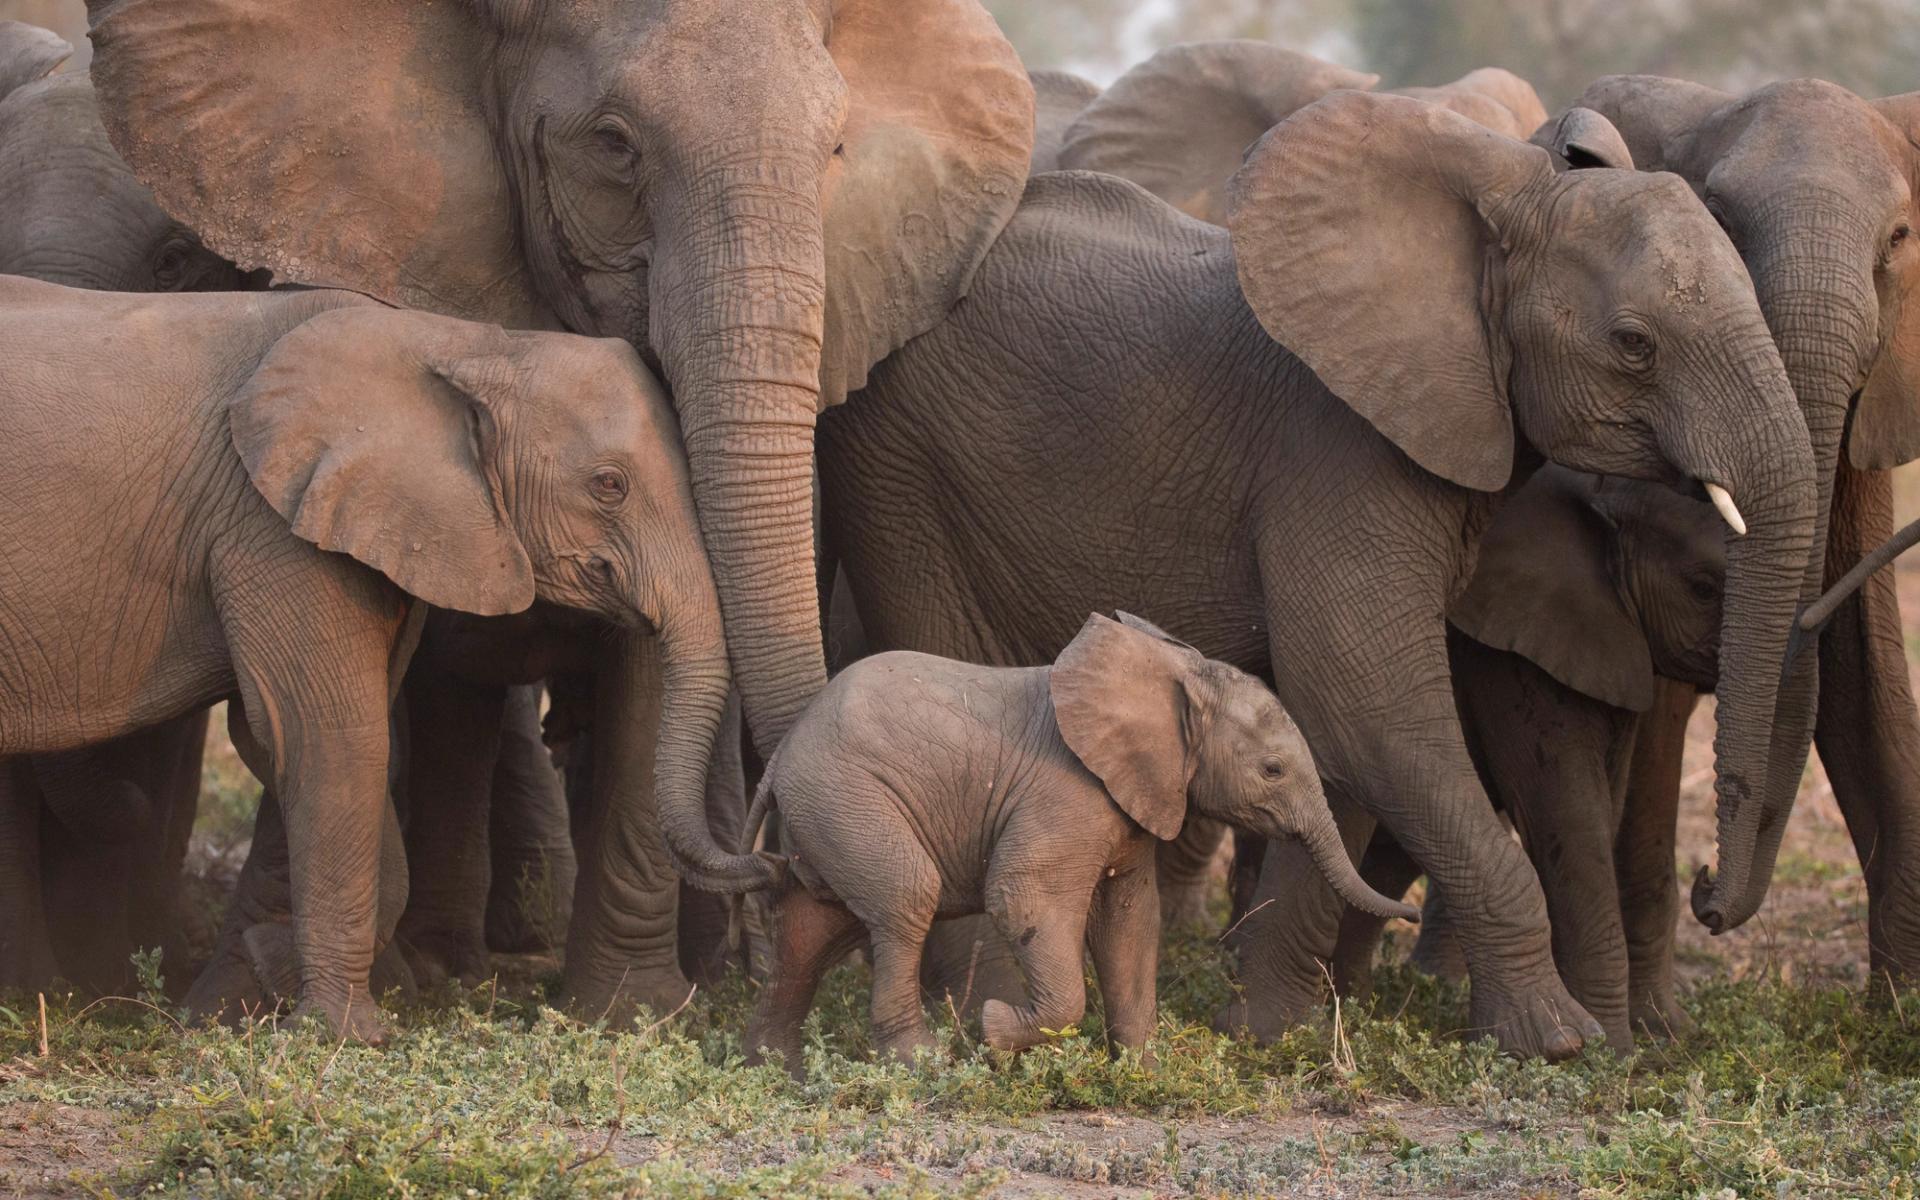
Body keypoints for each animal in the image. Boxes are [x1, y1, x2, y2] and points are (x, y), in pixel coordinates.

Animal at [0, 277, 732, 1042]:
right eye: (609, 485)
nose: (754, 866)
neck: (467, 341)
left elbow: (304, 736)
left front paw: (266, 976)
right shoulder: (274, 526)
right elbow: (331, 737)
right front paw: (344, 1034)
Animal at [83, 0, 1035, 1014]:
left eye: (837, 148)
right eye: (615, 145)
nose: (775, 885)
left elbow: (653, 658)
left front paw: (631, 1011)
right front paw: (238, 999)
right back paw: (430, 971)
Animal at [733, 612, 1415, 1074]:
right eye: (1273, 770)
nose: (1407, 912)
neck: (1173, 671)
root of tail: (784, 754)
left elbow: (1131, 919)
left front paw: (1144, 1075)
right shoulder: (1069, 793)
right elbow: (1023, 896)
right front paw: (995, 1028)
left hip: (830, 812)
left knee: (815, 928)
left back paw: (775, 1068)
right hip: (848, 796)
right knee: (904, 898)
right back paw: (922, 1062)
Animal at [810, 91, 1819, 1060]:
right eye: (1633, 342)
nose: (1707, 890)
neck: (1500, 208)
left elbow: (1335, 744)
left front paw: (1266, 1033)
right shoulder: (1340, 453)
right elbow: (1372, 710)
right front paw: (1556, 1044)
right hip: (900, 472)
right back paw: (969, 1006)